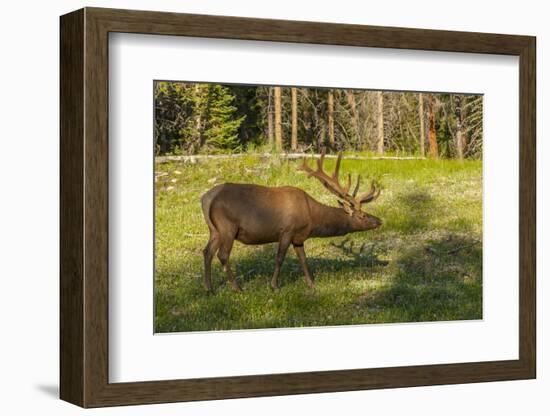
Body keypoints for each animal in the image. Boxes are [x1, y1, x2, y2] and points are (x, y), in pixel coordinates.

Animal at [199, 152, 384, 292]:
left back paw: (209, 288)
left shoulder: (299, 237)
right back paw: (237, 288)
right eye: (362, 216)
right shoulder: (287, 230)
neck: (312, 218)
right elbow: (280, 258)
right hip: (227, 226)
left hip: (214, 229)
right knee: (222, 255)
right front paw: (274, 286)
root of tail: (206, 198)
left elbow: (303, 259)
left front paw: (311, 284)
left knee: (207, 251)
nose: (379, 220)